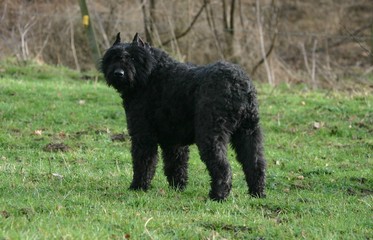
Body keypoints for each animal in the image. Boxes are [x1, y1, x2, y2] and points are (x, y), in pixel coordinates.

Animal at [100, 32, 266, 201]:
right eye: (113, 57)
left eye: (133, 58)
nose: (118, 73)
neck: (150, 75)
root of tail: (238, 84)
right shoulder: (173, 140)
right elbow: (176, 163)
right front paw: (178, 186)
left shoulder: (143, 135)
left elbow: (144, 162)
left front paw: (138, 186)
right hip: (249, 133)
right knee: (255, 164)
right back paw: (257, 193)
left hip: (210, 135)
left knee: (222, 167)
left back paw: (217, 195)